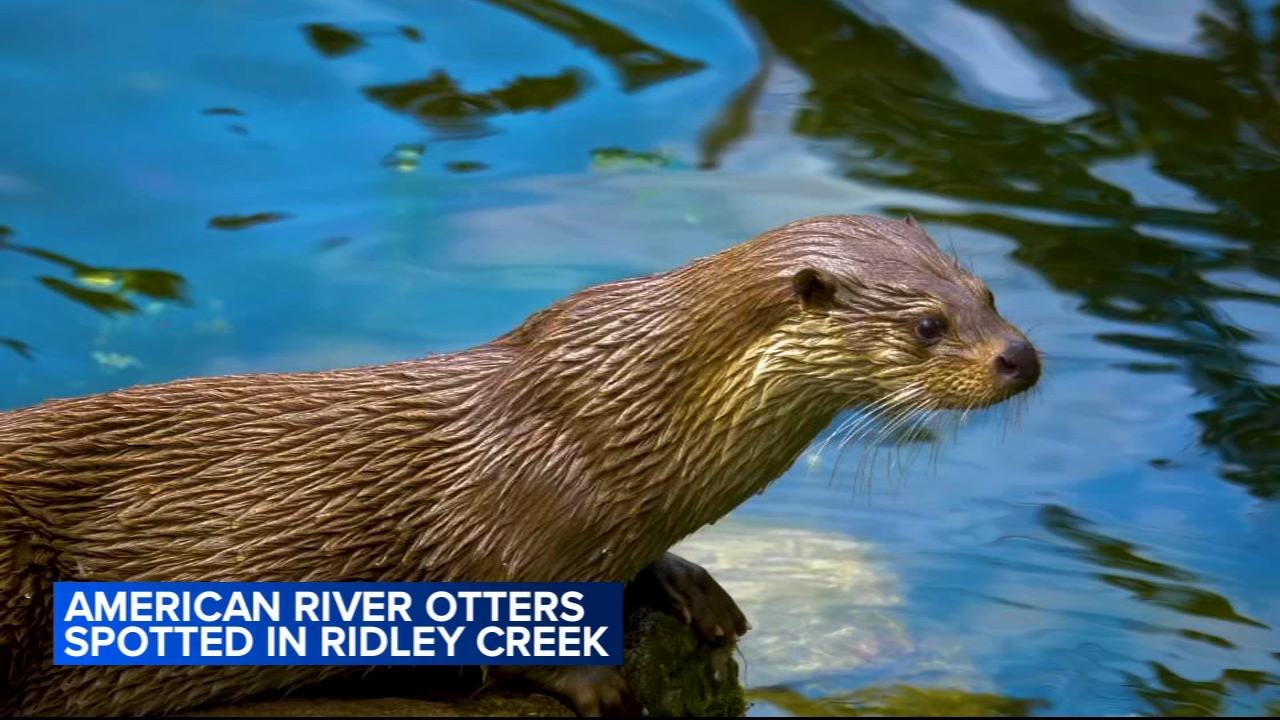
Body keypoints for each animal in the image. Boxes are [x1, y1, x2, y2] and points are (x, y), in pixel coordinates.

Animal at [1, 215, 1040, 716]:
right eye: (927, 324)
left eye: (989, 292)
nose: (1022, 357)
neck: (618, 423)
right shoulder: (507, 518)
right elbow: (491, 610)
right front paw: (594, 682)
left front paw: (691, 587)